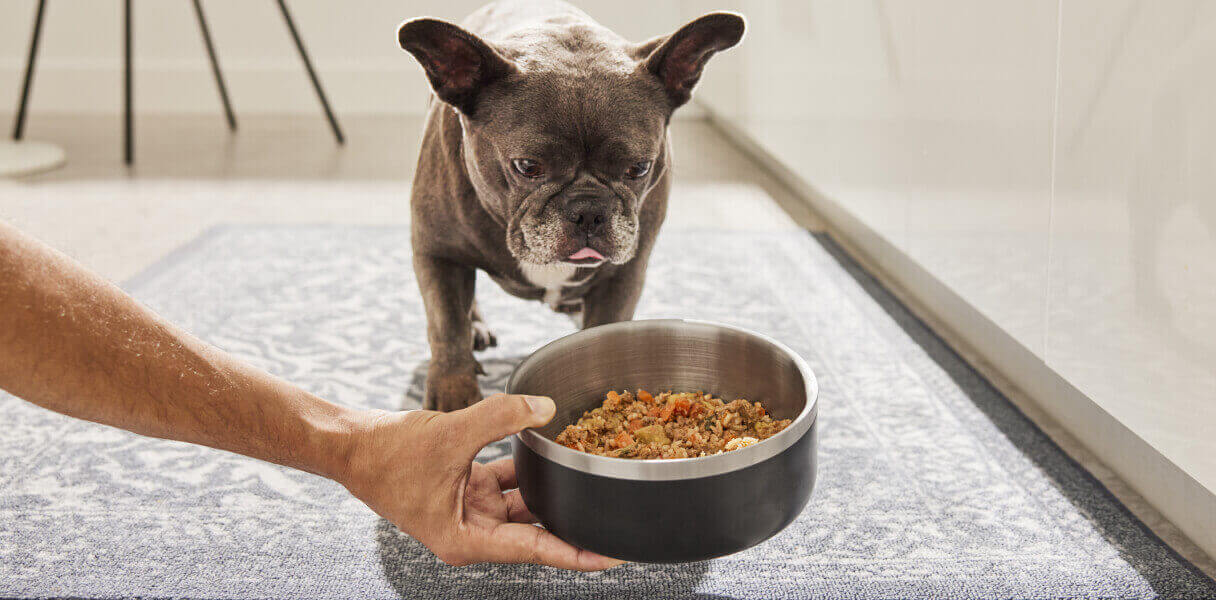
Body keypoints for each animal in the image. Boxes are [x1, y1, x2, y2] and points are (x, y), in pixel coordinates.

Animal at [401, 0, 739, 408]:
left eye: (639, 168)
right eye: (528, 166)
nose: (589, 211)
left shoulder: (624, 275)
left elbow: (607, 329)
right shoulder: (438, 253)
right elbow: (447, 327)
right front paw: (456, 400)